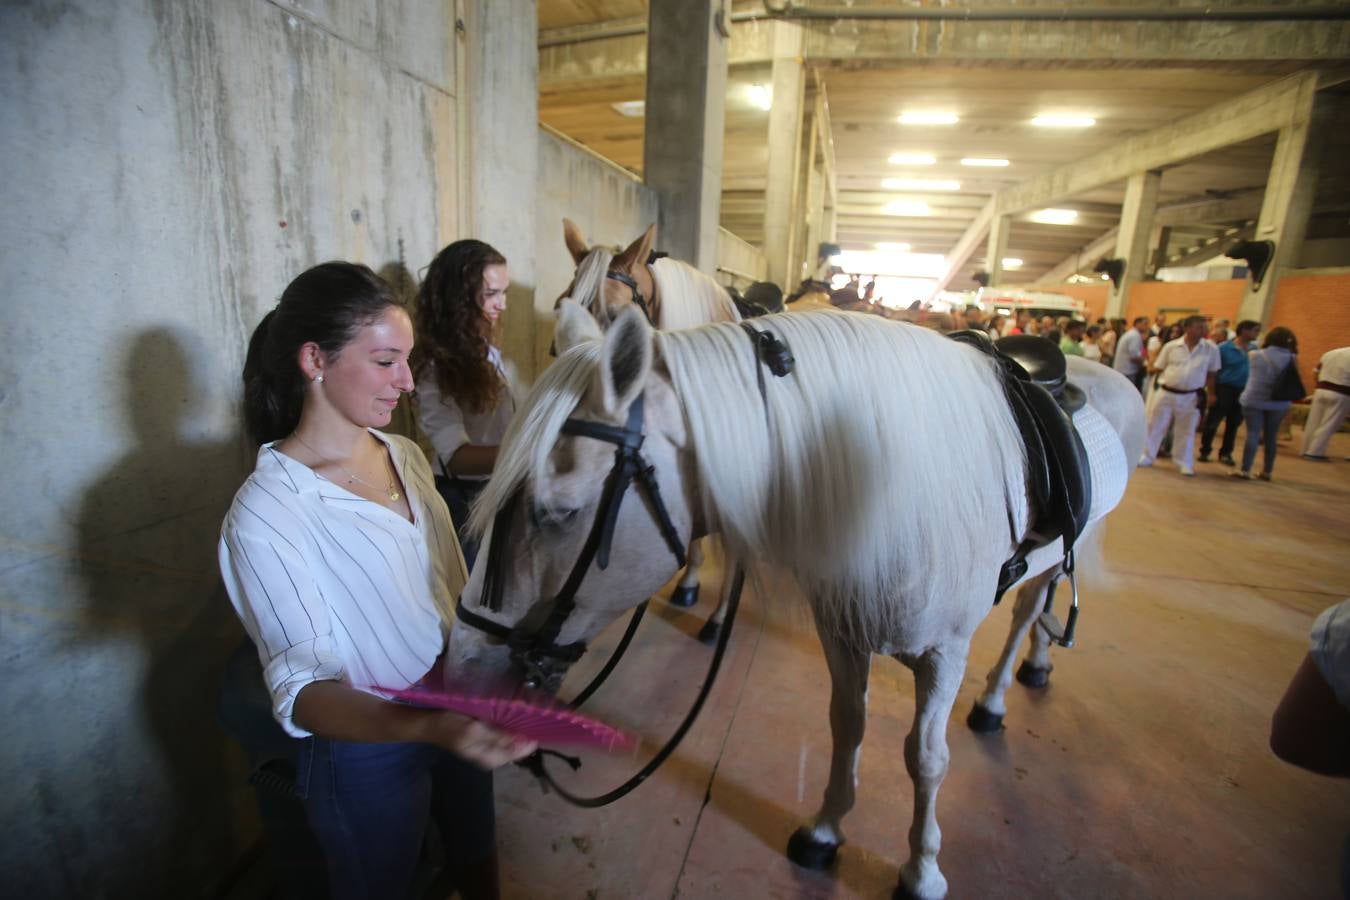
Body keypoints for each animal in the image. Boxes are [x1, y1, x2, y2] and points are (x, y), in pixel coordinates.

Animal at [448, 304, 1144, 900]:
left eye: (558, 512)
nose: (462, 668)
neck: (885, 481)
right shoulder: (843, 631)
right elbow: (847, 724)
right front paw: (826, 830)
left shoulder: (944, 652)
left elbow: (926, 759)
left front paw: (922, 869)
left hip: (1069, 550)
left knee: (1031, 610)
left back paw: (1009, 687)